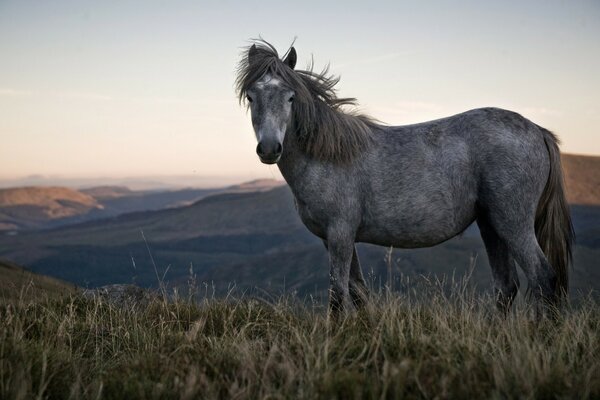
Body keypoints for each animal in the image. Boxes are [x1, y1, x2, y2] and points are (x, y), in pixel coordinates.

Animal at [233, 39, 572, 316]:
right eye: (251, 96)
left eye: (290, 97)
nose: (269, 148)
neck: (327, 156)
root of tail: (538, 131)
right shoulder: (336, 239)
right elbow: (358, 292)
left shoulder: (340, 234)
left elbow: (338, 297)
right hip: (492, 225)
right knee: (507, 287)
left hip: (513, 224)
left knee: (543, 278)